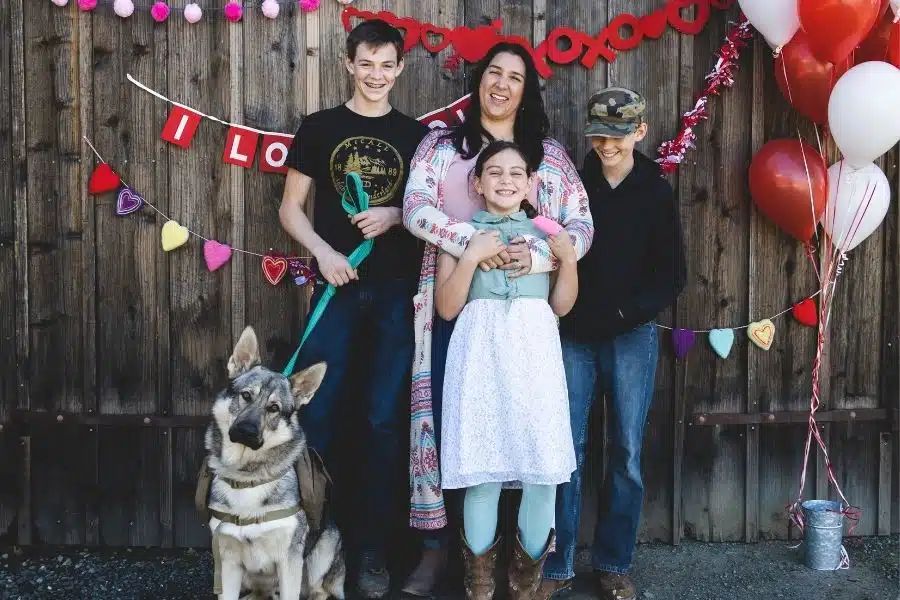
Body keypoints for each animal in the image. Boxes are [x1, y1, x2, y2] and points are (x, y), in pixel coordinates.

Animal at [200, 326, 344, 600]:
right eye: (246, 396)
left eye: (274, 408)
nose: (246, 431)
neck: (247, 477)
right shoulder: (228, 561)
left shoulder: (289, 562)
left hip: (324, 550)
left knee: (319, 589)